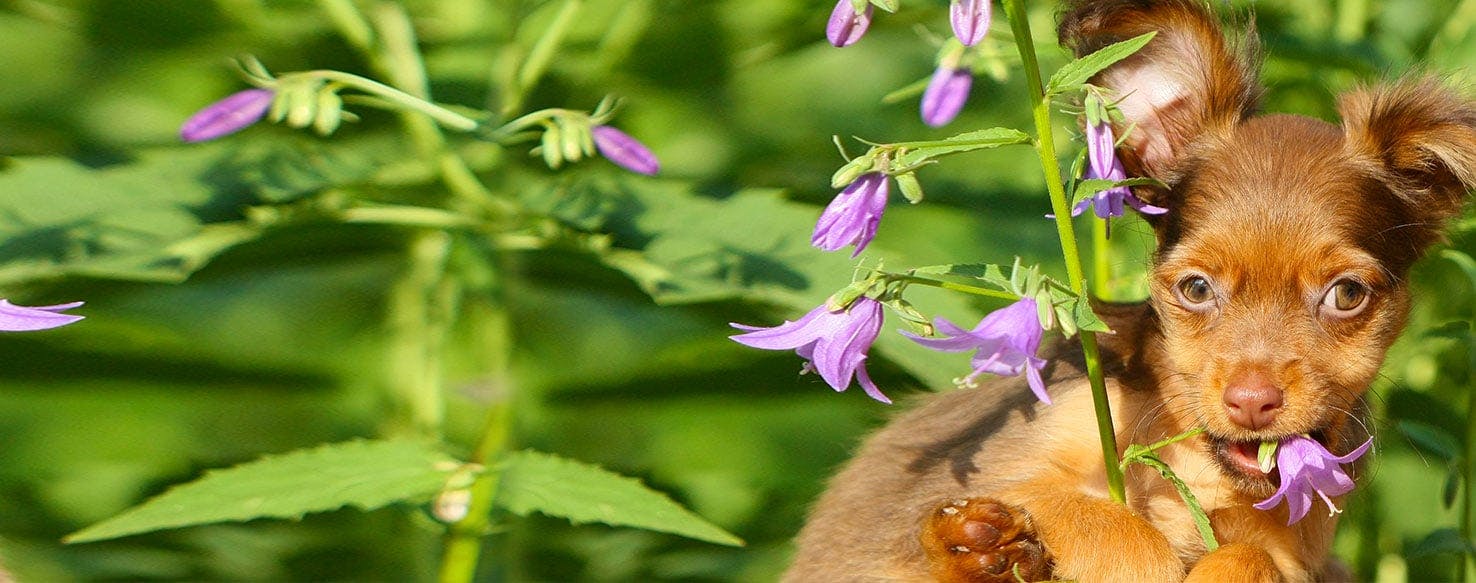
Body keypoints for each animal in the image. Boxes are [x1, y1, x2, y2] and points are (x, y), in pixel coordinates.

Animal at [785, 1, 1476, 583]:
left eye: (1346, 296)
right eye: (1195, 289)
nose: (1252, 403)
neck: (1197, 471)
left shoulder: (1297, 549)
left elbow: (1249, 557)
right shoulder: (957, 483)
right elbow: (1109, 525)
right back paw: (979, 549)